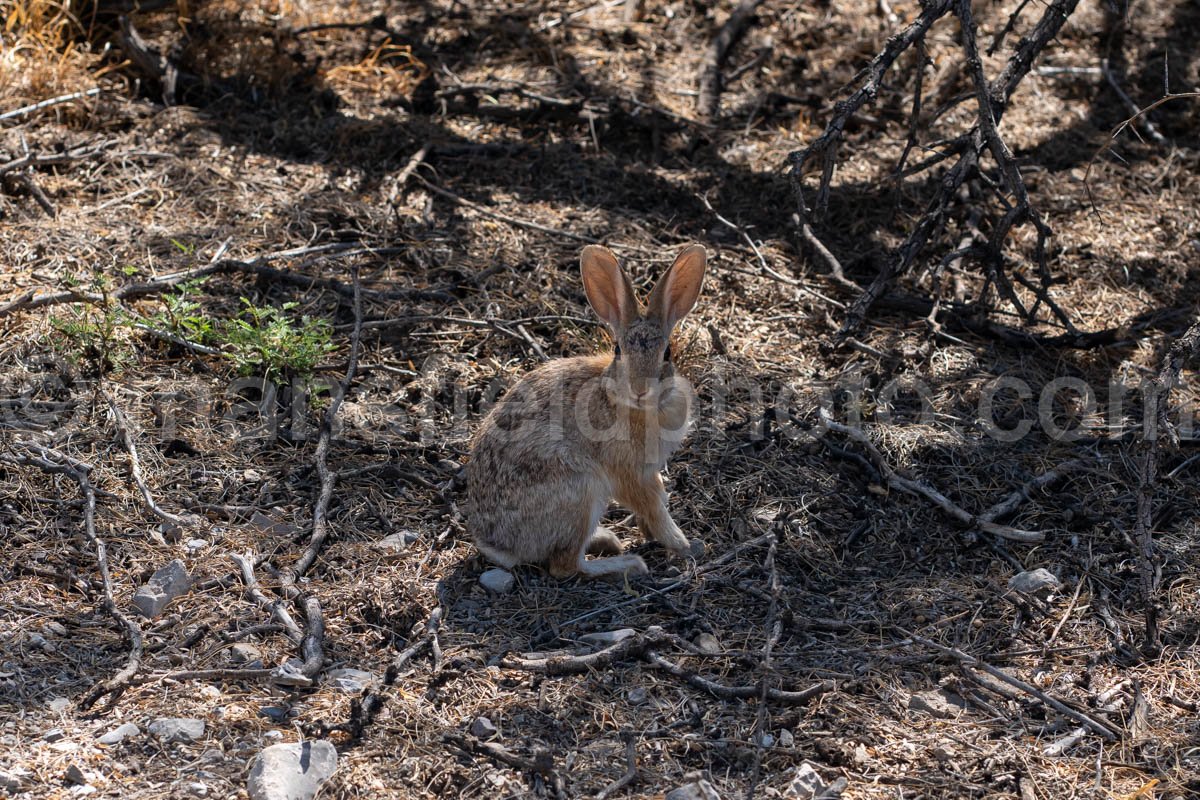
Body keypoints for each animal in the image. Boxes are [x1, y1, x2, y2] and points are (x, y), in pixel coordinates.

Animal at [465, 241, 705, 578]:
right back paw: (626, 563)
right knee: (565, 566)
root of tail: (498, 545)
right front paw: (683, 544)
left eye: (667, 353)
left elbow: (658, 497)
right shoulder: (629, 472)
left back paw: (607, 540)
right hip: (581, 490)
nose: (640, 388)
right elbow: (654, 507)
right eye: (618, 350)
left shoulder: (650, 471)